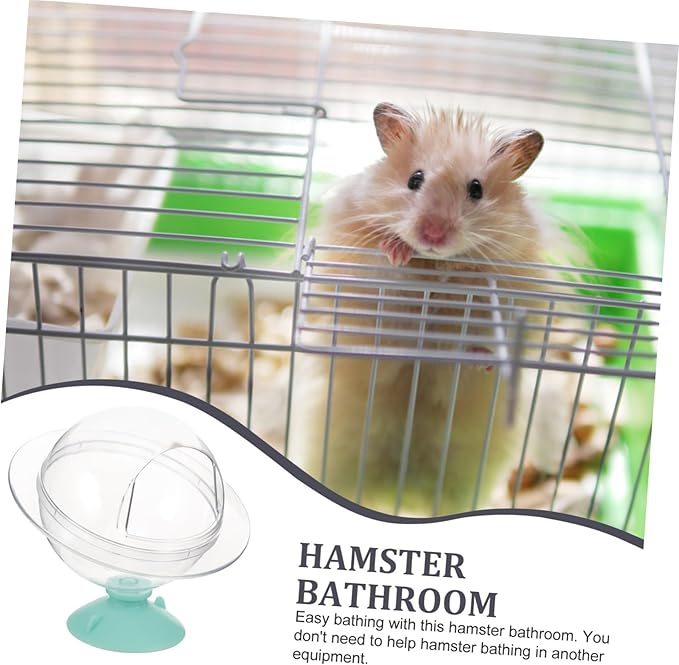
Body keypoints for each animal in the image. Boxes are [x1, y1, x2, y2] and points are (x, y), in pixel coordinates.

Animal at [289, 102, 567, 516]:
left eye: (476, 189)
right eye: (415, 179)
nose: (433, 235)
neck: (432, 267)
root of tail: (398, 495)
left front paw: (482, 352)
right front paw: (398, 251)